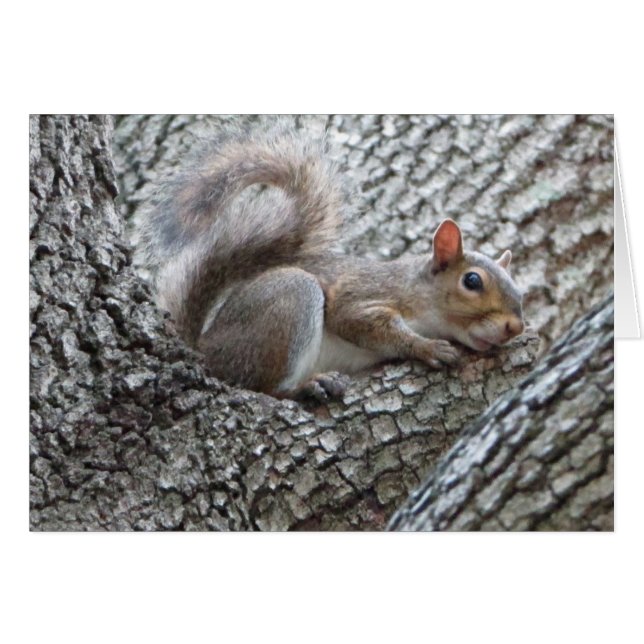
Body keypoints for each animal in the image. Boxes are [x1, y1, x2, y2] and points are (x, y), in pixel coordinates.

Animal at [137, 120, 525, 399]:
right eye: (472, 281)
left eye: (519, 292)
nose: (515, 327)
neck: (417, 292)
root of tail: (205, 350)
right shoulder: (363, 297)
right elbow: (363, 323)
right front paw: (426, 347)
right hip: (289, 301)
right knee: (263, 387)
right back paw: (308, 387)